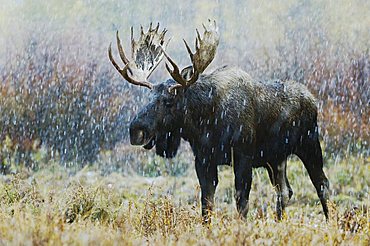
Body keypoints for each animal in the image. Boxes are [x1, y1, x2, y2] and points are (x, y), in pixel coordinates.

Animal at [107, 20, 330, 221]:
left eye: (169, 101)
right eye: (149, 97)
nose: (136, 130)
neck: (205, 123)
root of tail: (312, 99)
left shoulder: (243, 155)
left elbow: (241, 201)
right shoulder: (203, 159)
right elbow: (206, 203)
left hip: (309, 144)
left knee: (322, 184)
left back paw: (330, 221)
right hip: (275, 158)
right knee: (284, 191)